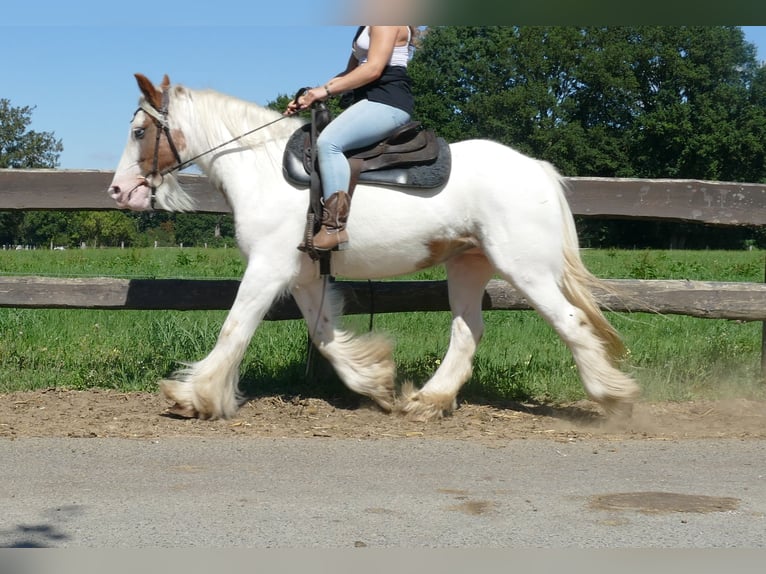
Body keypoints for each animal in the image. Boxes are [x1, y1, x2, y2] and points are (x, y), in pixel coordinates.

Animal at [108, 73, 640, 422]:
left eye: (138, 131)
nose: (117, 191)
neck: (259, 167)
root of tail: (538, 170)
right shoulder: (304, 275)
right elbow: (323, 334)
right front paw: (376, 383)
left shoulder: (268, 267)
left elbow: (234, 329)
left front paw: (194, 397)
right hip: (468, 265)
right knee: (468, 330)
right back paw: (428, 401)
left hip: (526, 269)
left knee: (570, 322)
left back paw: (612, 396)